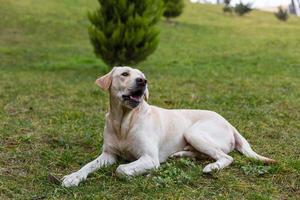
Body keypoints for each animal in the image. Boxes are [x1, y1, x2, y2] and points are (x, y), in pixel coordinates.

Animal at [62, 66, 276, 187]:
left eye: (142, 76)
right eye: (124, 74)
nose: (143, 81)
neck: (124, 121)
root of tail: (229, 123)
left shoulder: (149, 158)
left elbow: (121, 169)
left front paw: (136, 174)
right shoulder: (108, 154)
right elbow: (87, 166)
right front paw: (73, 177)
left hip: (194, 132)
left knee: (226, 157)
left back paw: (211, 167)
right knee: (206, 154)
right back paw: (181, 155)